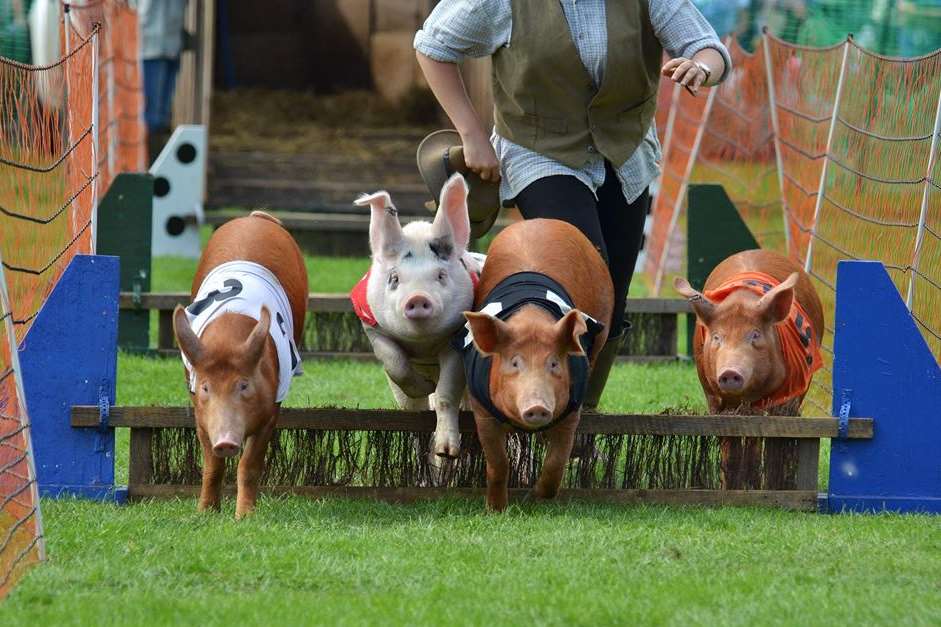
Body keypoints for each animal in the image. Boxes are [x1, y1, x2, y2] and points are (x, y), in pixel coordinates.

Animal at [352, 174, 484, 458]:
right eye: (394, 278)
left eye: (441, 275)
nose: (418, 298)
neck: (423, 344)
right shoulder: (373, 329)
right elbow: (396, 364)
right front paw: (423, 386)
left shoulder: (457, 336)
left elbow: (446, 394)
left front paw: (447, 451)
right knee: (412, 410)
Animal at [458, 218, 616, 512]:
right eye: (514, 363)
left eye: (554, 363)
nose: (538, 407)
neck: (531, 319)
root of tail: (543, 221)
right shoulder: (481, 407)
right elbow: (497, 462)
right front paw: (496, 510)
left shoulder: (571, 407)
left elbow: (557, 460)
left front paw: (538, 497)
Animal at [676, 250, 824, 490]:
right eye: (716, 337)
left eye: (755, 335)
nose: (729, 372)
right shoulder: (712, 395)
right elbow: (729, 441)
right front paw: (730, 487)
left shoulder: (786, 397)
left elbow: (775, 440)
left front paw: (772, 487)